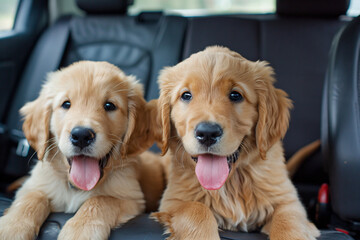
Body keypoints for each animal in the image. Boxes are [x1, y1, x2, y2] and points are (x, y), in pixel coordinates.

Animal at [0, 61, 160, 240]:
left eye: (109, 105)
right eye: (66, 104)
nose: (82, 135)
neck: (77, 188)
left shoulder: (132, 198)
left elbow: (102, 200)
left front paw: (80, 230)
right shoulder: (35, 185)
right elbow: (31, 197)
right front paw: (12, 227)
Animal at [152, 46, 320, 239]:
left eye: (235, 95)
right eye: (186, 95)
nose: (207, 133)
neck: (231, 182)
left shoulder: (288, 200)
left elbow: (288, 223)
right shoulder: (173, 200)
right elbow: (197, 210)